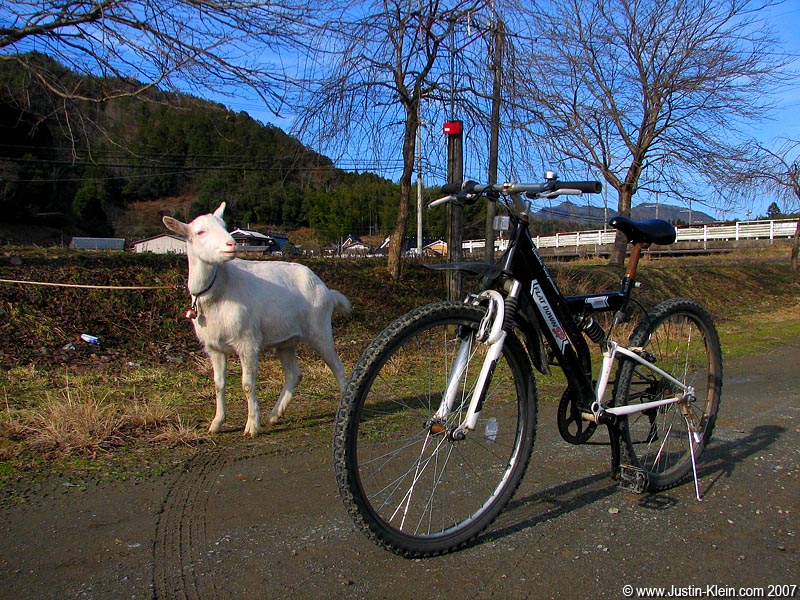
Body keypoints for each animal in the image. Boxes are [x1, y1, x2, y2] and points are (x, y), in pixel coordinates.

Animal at [163, 203, 351, 436]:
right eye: (200, 232)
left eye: (225, 226)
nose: (232, 244)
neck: (219, 289)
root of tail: (327, 291)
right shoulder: (213, 347)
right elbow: (218, 384)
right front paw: (216, 423)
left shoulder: (247, 341)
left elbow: (247, 384)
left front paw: (252, 425)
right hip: (285, 341)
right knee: (294, 374)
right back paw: (274, 415)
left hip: (319, 329)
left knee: (337, 366)